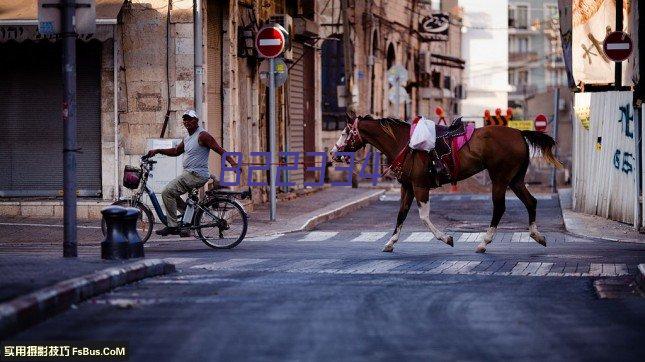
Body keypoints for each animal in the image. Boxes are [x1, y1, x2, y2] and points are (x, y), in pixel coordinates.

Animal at [330, 114, 560, 253]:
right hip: (515, 180)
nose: (333, 153)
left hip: (500, 179)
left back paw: (484, 242)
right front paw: (390, 242)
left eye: (345, 132)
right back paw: (537, 235)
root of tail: (520, 133)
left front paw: (446, 238)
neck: (406, 143)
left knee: (500, 208)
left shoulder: (420, 187)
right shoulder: (407, 187)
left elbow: (423, 217)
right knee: (531, 202)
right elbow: (401, 214)